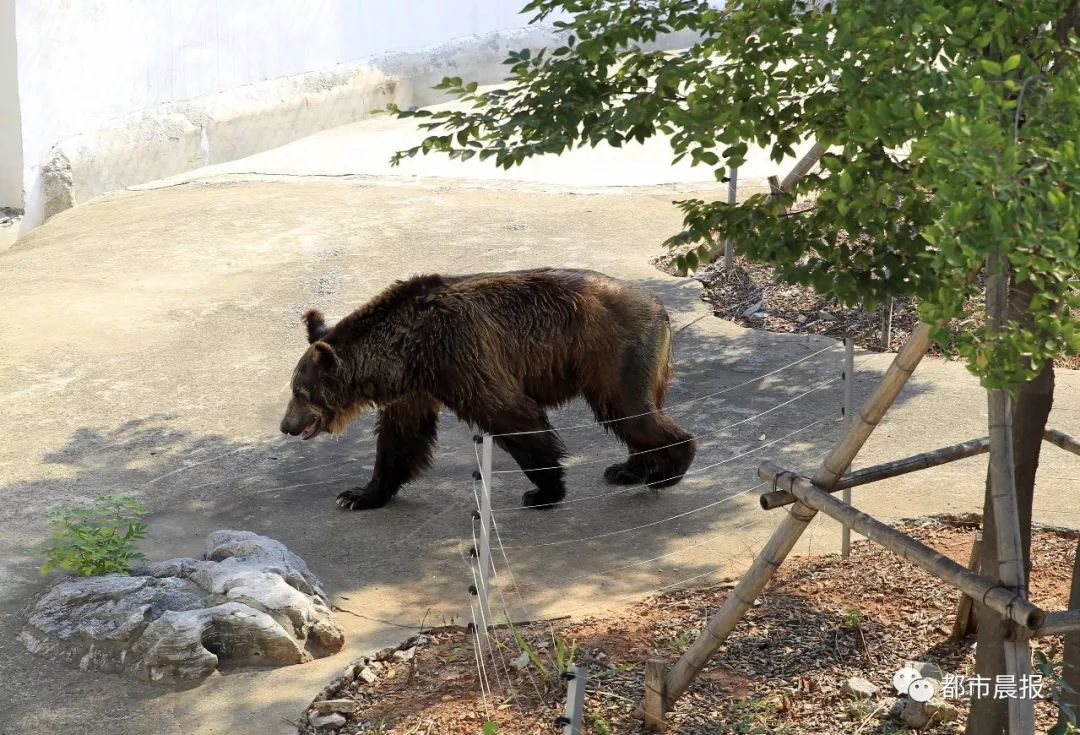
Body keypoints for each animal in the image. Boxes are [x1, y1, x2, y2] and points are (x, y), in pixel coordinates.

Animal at [278, 267, 695, 509]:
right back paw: (629, 469)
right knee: (633, 416)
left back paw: (667, 471)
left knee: (629, 411)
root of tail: (659, 306)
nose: (286, 425)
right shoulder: (417, 385)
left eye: (301, 392)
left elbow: (512, 414)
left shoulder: (459, 354)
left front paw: (543, 491)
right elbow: (400, 438)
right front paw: (359, 494)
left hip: (613, 353)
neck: (405, 350)